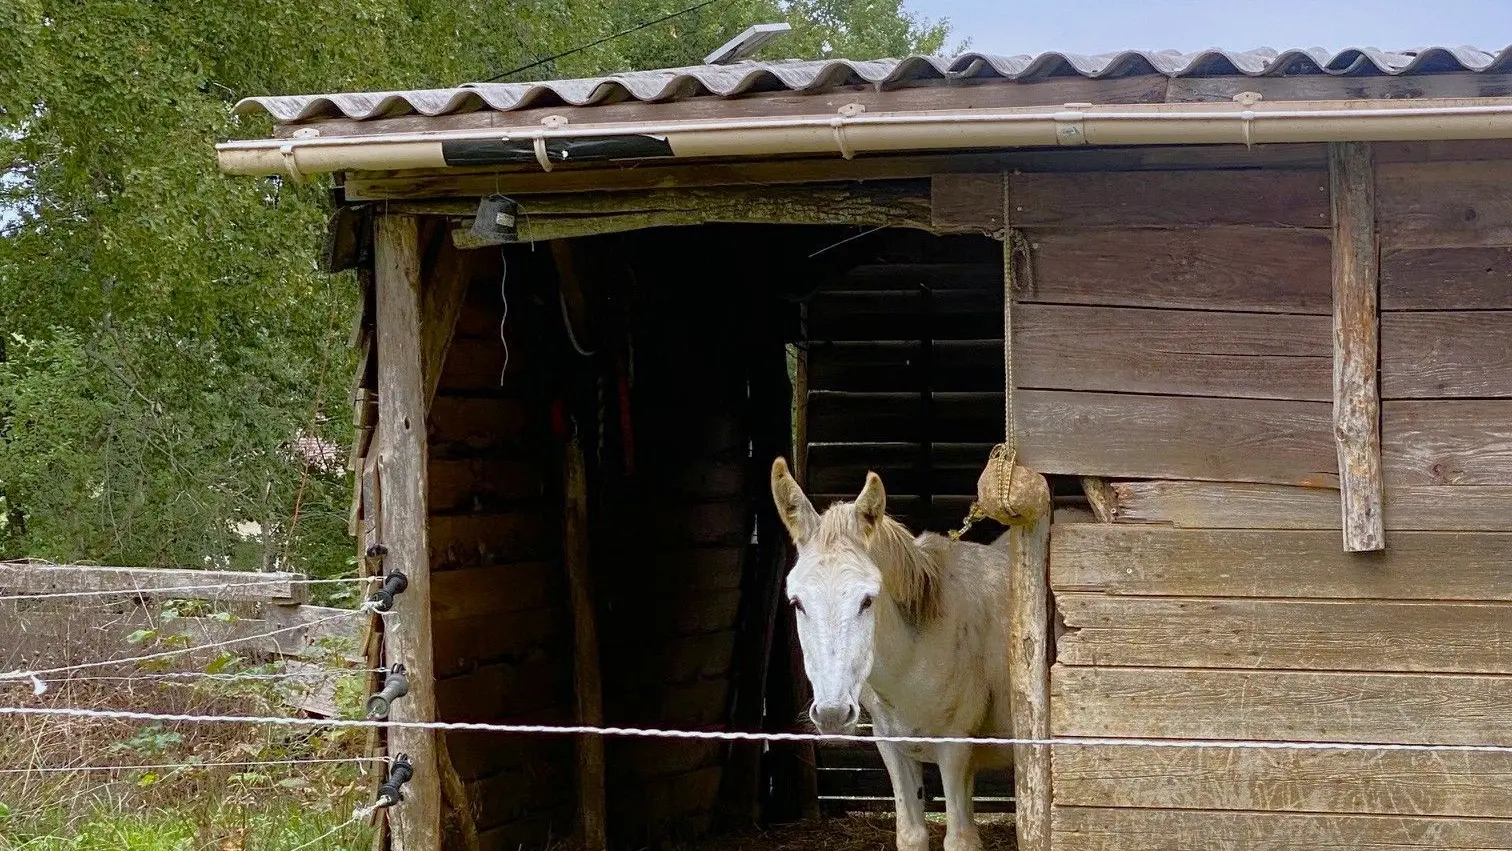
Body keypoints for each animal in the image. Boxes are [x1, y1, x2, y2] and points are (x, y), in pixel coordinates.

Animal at [770, 457, 1014, 851]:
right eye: (797, 603)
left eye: (867, 600)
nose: (833, 715)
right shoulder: (892, 746)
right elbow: (912, 835)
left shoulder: (956, 749)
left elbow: (960, 840)